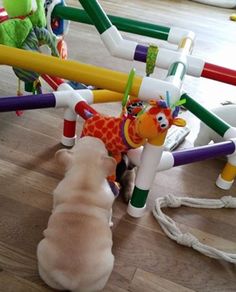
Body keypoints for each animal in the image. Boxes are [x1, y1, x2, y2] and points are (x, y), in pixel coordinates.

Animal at [37, 137, 117, 292]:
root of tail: (70, 279)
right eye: (104, 148)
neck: (84, 180)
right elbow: (110, 216)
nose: (94, 137)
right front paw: (110, 223)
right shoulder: (109, 207)